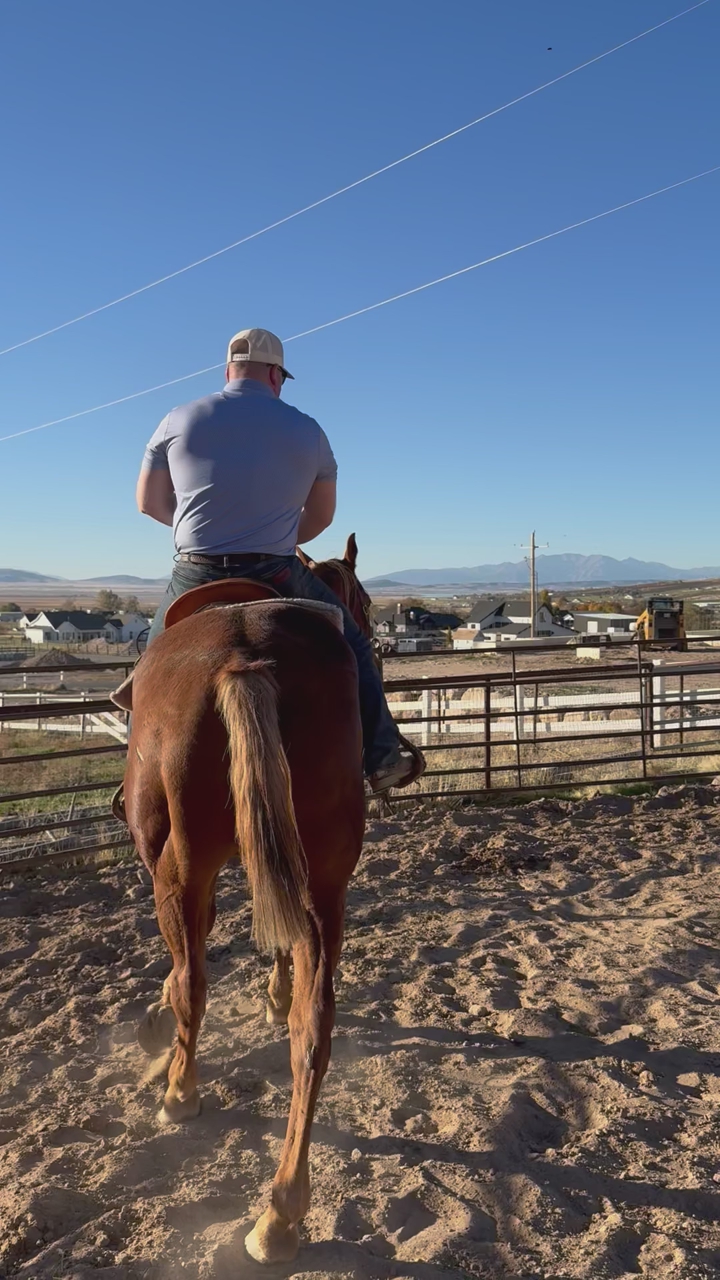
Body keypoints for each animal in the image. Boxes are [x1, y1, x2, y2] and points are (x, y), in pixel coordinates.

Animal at [123, 537, 372, 1265]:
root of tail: (243, 659)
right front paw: (274, 996)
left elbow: (186, 965)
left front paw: (156, 1027)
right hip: (323, 878)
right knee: (313, 1029)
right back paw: (281, 1212)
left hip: (180, 866)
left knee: (194, 982)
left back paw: (180, 1093)